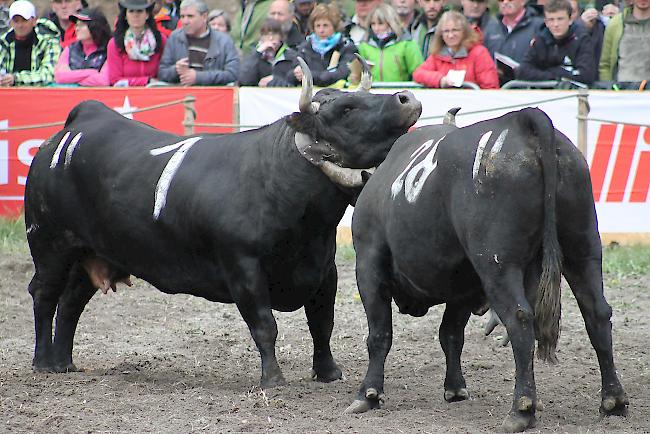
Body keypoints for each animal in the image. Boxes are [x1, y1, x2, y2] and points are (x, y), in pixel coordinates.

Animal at [346, 107, 624, 430]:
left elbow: (380, 334)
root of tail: (521, 120)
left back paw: (521, 409)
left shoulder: (368, 264)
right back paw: (613, 400)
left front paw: (368, 393)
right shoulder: (463, 286)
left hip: (498, 264)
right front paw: (455, 388)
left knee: (520, 318)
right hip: (583, 248)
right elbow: (451, 334)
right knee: (597, 313)